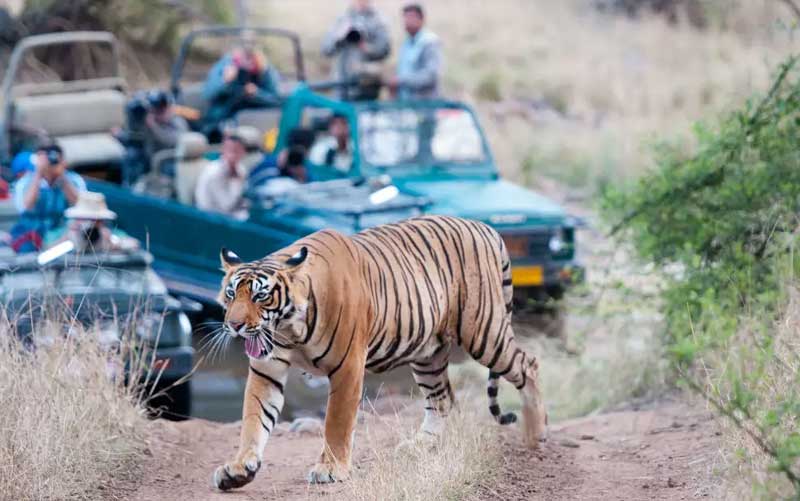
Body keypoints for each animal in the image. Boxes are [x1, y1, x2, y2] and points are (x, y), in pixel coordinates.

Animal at [209, 214, 548, 488]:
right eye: (231, 293)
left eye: (261, 296)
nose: (234, 325)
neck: (290, 329)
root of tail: (485, 227)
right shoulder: (267, 369)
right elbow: (254, 418)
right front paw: (239, 469)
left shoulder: (347, 366)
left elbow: (336, 422)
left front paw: (330, 469)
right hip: (428, 353)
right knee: (442, 399)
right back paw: (420, 446)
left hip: (483, 332)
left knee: (528, 365)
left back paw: (536, 436)